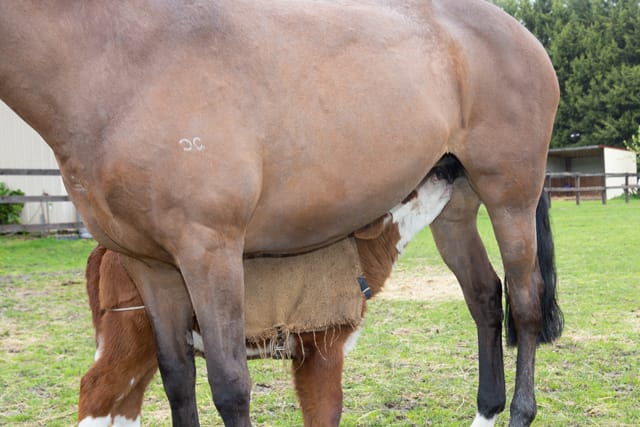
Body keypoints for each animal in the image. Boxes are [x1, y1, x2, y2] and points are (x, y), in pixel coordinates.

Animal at [79, 171, 454, 427]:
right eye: (411, 188)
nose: (447, 166)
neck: (358, 256)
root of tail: (104, 251)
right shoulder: (323, 344)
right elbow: (327, 410)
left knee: (127, 398)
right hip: (130, 328)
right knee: (97, 387)